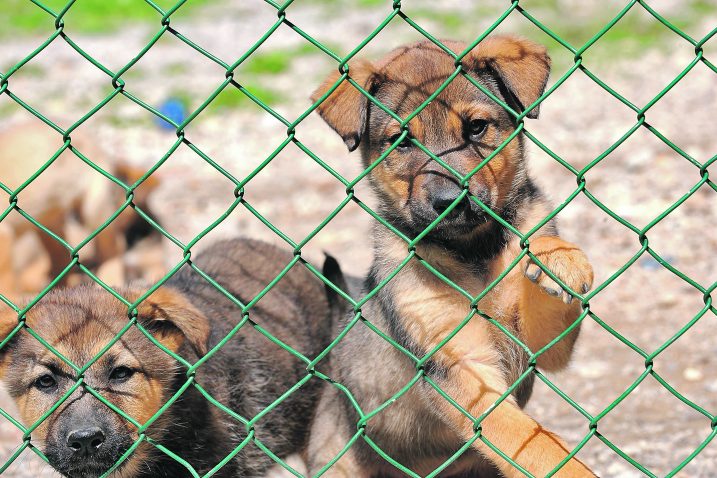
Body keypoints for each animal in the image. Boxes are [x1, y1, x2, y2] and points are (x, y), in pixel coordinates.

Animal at [308, 35, 592, 476]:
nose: (448, 201)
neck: (472, 250)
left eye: (476, 127)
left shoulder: (539, 351)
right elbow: (529, 442)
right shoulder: (460, 364)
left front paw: (557, 259)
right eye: (401, 141)